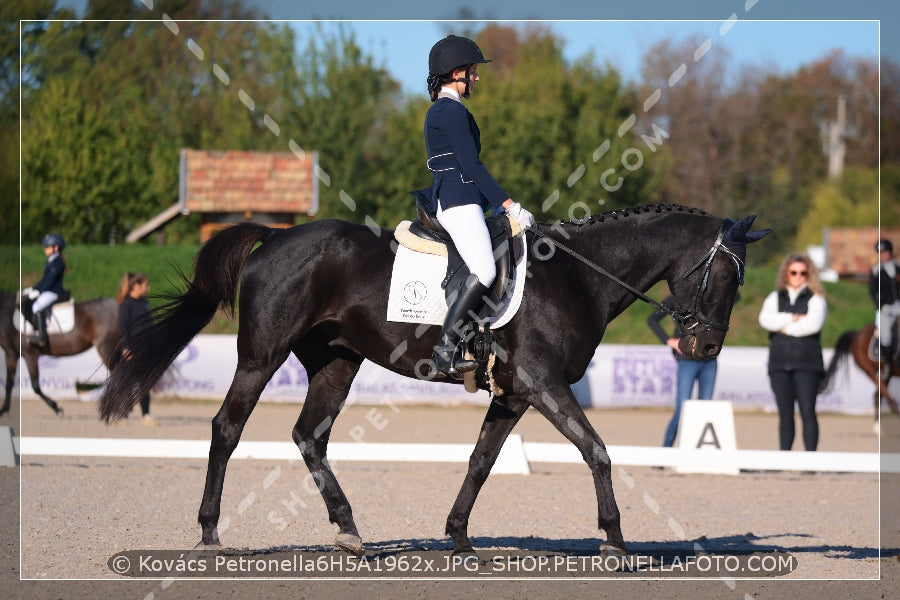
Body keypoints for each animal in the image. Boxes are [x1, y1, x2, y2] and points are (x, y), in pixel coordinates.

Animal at [102, 204, 768, 556]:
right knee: (227, 427)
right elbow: (598, 451)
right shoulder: (544, 385)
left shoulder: (515, 394)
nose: (706, 346)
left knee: (308, 436)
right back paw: (210, 532)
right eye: (726, 277)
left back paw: (350, 531)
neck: (579, 277)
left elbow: (481, 461)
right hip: (262, 355)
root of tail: (277, 234)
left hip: (337, 361)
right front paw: (613, 540)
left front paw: (459, 538)